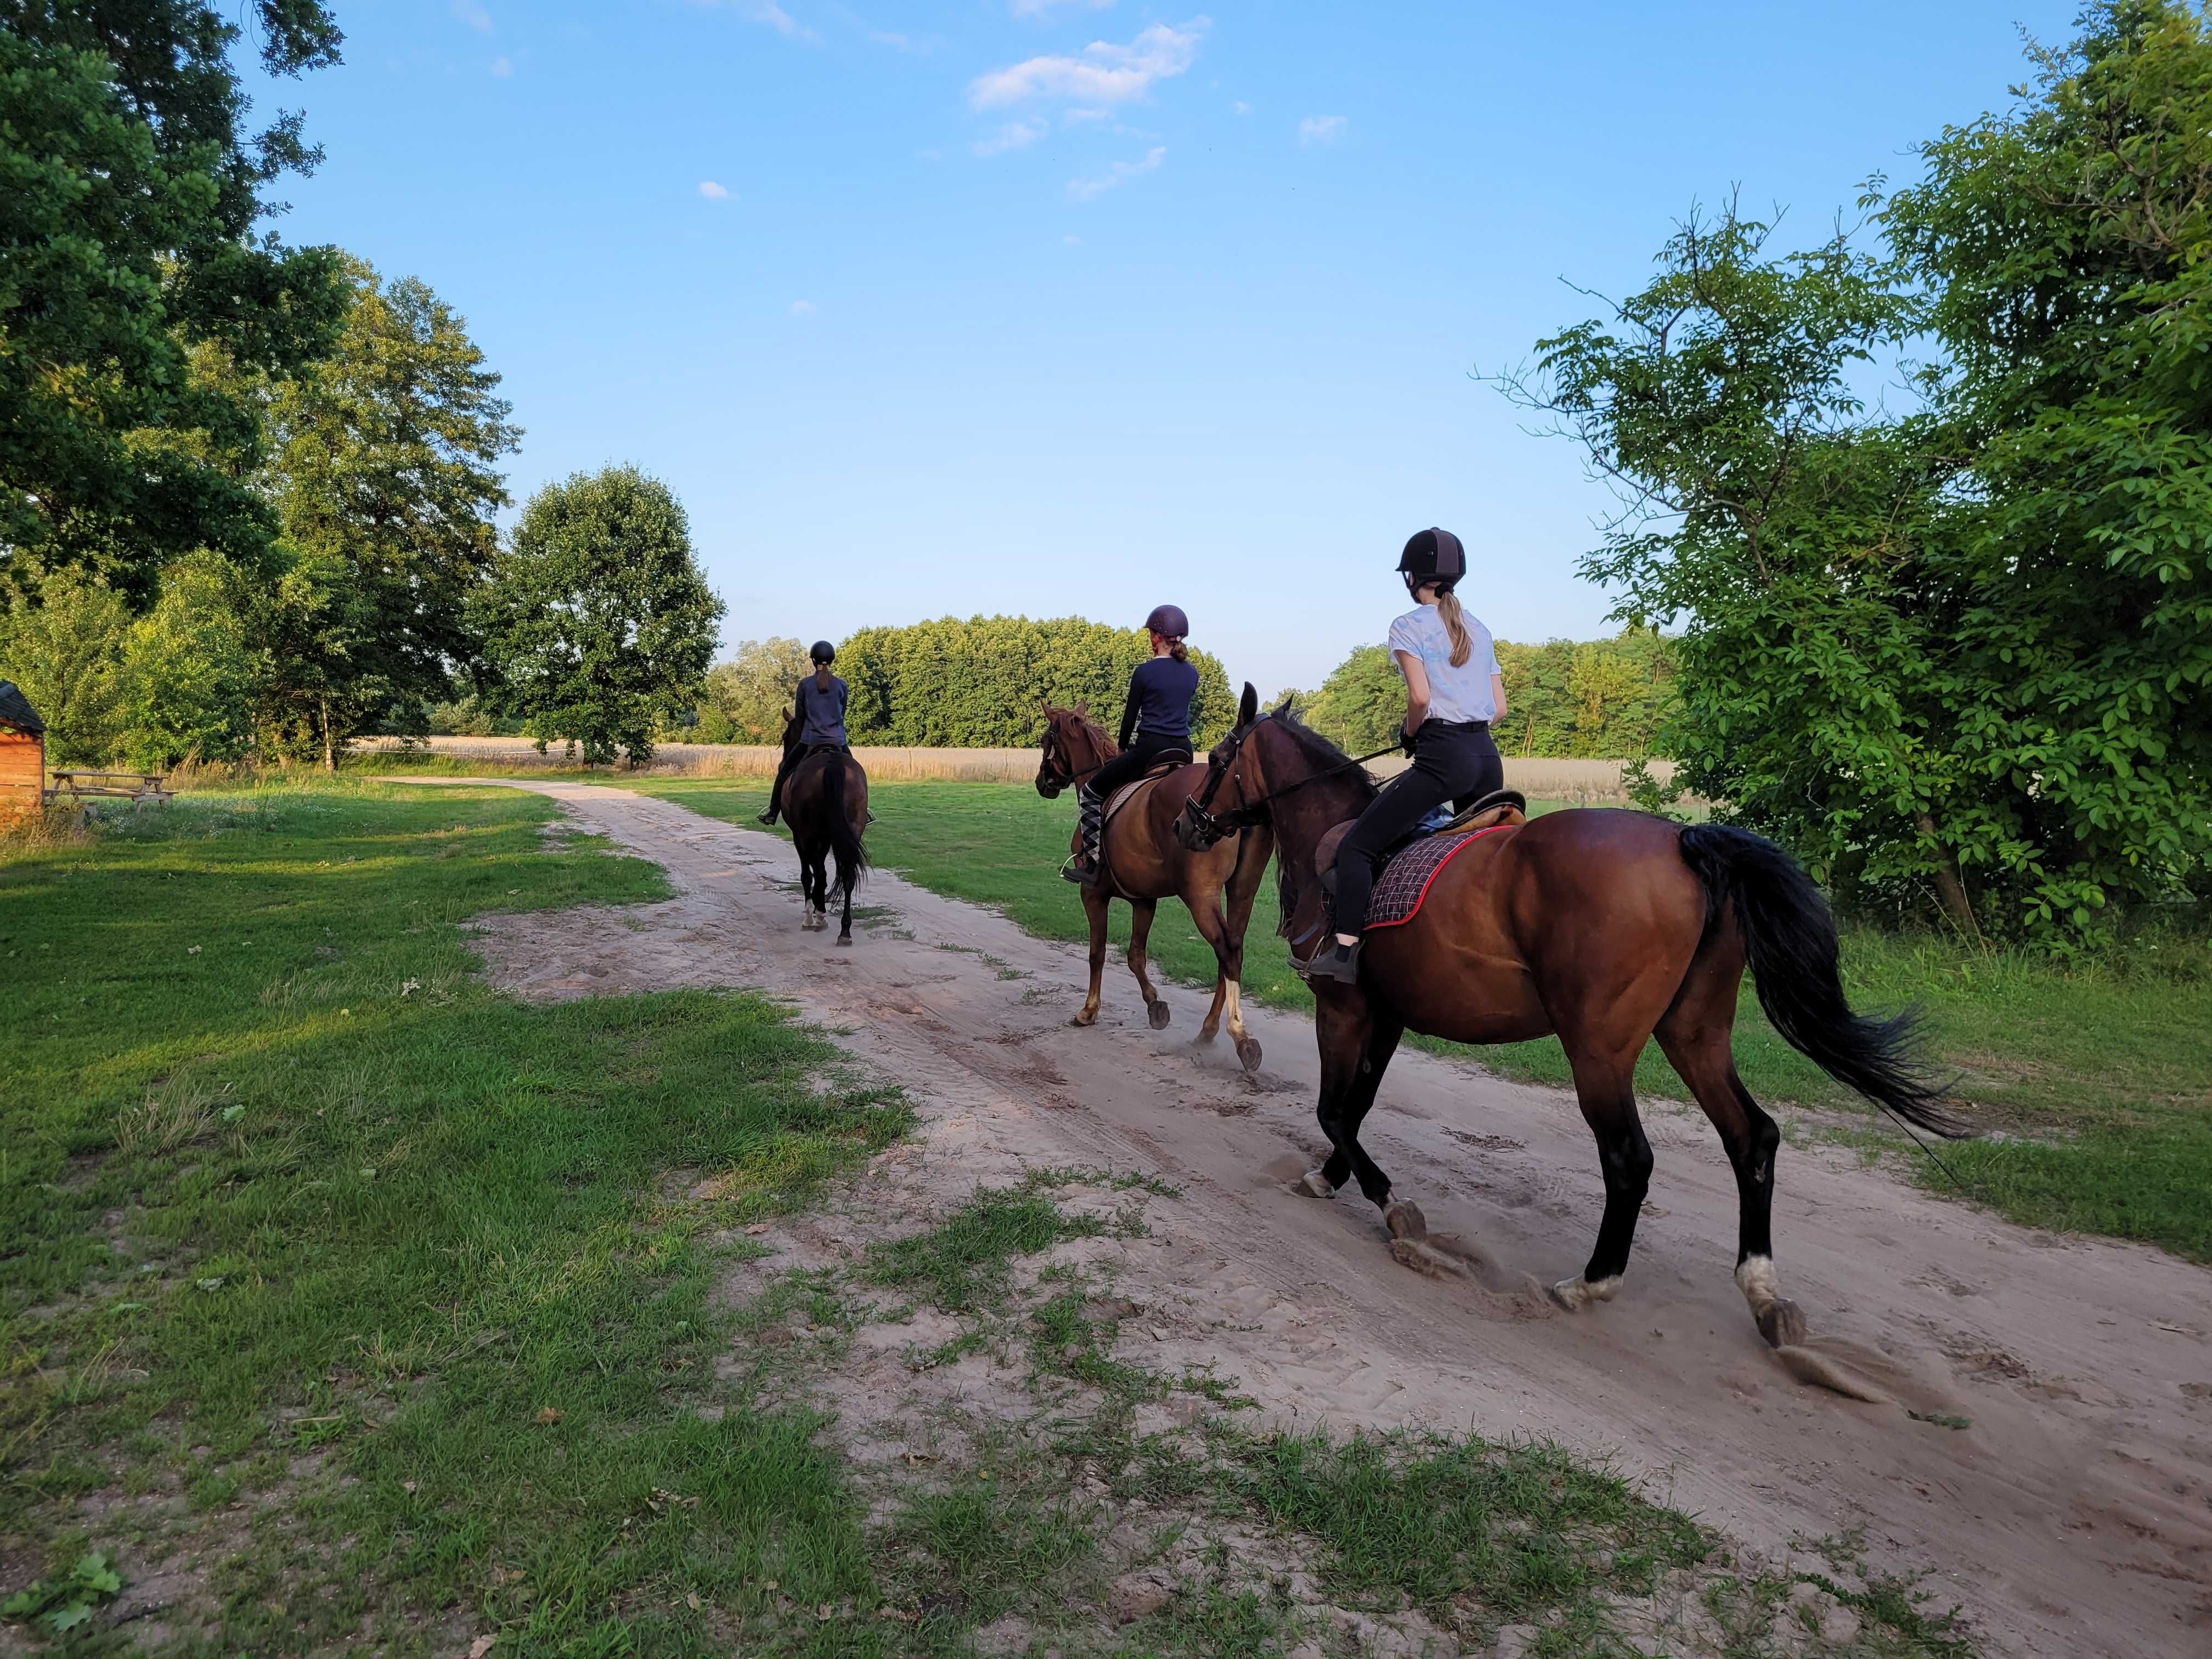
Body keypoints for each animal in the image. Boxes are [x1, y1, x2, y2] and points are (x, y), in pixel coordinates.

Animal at [1040, 690, 1283, 1070]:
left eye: (1044, 741)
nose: (1042, 783)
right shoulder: (1144, 900)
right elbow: (1135, 956)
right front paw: (1156, 1007)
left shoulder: (1092, 894)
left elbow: (1097, 953)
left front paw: (1088, 1011)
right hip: (1242, 891)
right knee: (1232, 949)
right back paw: (1209, 1030)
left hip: (1200, 895)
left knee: (1226, 948)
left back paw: (1241, 1037)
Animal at [1167, 695, 1964, 1353]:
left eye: (1221, 757)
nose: (1184, 823)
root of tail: (1684, 846)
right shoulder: (1388, 1017)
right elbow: (1355, 1108)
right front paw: (1334, 1179)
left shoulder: (1344, 1008)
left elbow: (1334, 1109)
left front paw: (1391, 1205)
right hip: (1694, 1034)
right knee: (1754, 1137)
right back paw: (1763, 1293)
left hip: (1600, 1049)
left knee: (1630, 1158)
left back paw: (1592, 1282)